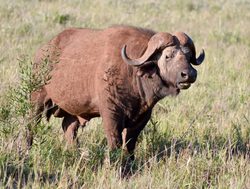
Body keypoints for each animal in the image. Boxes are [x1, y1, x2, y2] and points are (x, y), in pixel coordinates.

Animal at [29, 24, 205, 158]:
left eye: (188, 56)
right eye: (168, 56)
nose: (189, 74)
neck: (132, 74)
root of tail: (42, 52)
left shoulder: (142, 117)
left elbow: (130, 144)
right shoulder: (111, 114)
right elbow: (115, 142)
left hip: (73, 112)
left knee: (69, 129)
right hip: (36, 101)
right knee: (30, 126)